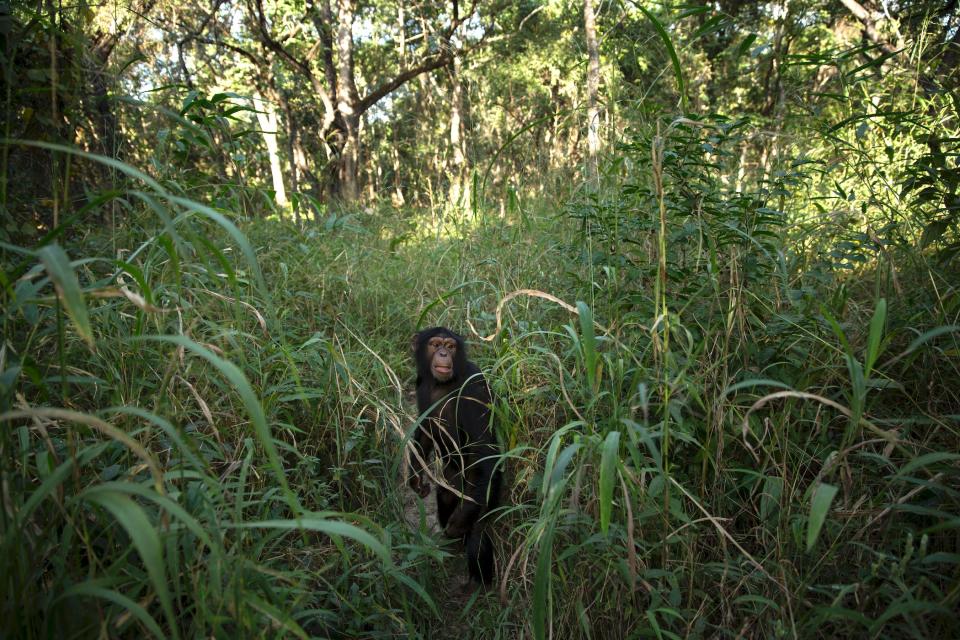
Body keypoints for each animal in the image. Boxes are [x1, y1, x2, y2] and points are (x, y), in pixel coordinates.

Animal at [408, 328, 502, 588]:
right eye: (435, 344)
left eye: (450, 346)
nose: (442, 353)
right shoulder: (420, 383)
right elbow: (424, 433)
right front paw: (416, 480)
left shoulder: (474, 386)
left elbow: (483, 448)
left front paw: (458, 524)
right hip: (450, 481)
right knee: (445, 498)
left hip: (483, 487)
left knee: (479, 530)